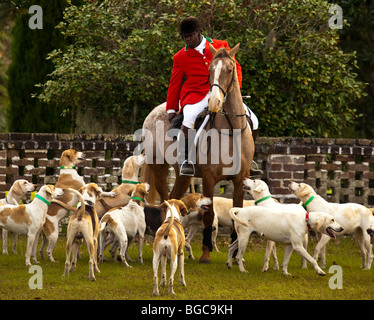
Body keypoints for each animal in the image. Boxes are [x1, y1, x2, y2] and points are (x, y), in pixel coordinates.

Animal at [140, 43, 254, 262]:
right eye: (210, 70)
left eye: (230, 69)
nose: (214, 103)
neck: (231, 130)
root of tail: (154, 111)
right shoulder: (209, 178)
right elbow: (209, 215)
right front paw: (206, 253)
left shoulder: (240, 179)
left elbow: (237, 215)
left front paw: (236, 255)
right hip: (158, 166)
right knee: (166, 198)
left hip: (182, 175)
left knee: (175, 196)